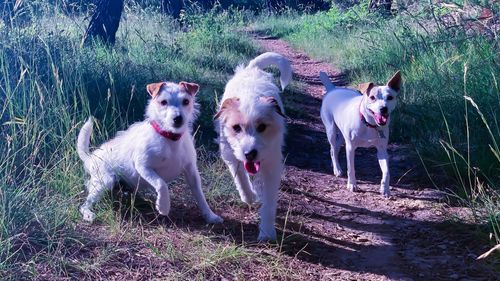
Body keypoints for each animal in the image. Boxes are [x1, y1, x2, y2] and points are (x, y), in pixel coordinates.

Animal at [76, 80, 223, 223]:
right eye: (163, 102)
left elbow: (200, 196)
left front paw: (210, 215)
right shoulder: (143, 166)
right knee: (84, 205)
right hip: (105, 181)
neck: (170, 137)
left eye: (186, 101)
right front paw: (163, 206)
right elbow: (161, 183)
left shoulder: (191, 171)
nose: (178, 118)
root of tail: (90, 158)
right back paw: (88, 214)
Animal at [213, 51, 292, 240]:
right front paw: (249, 196)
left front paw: (267, 232)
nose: (250, 153)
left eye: (262, 127)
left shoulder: (271, 164)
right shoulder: (230, 154)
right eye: (236, 128)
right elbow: (241, 178)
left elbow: (269, 201)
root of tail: (251, 69)